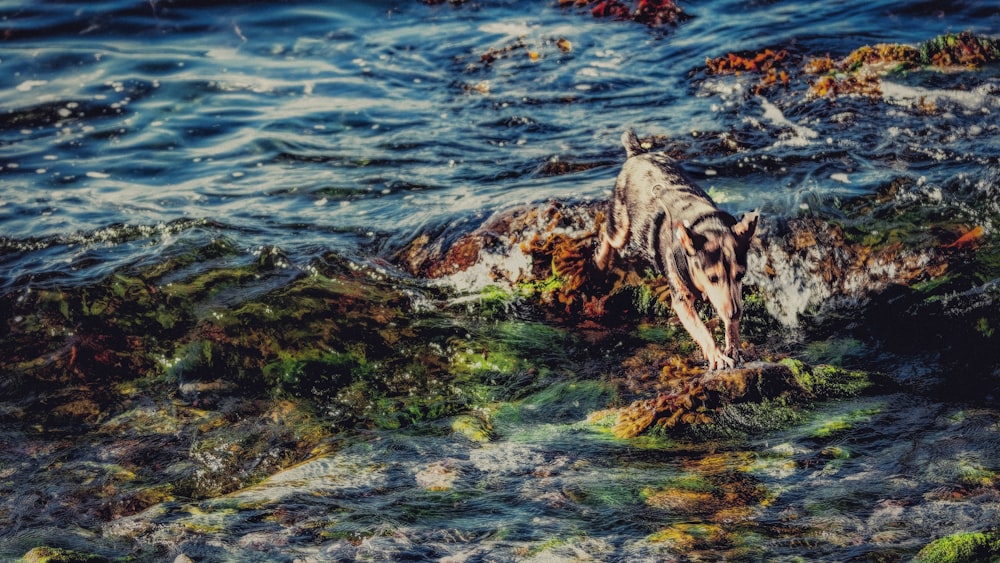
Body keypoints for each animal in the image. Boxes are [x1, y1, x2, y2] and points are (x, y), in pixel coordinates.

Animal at [592, 131, 756, 372]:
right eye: (712, 278)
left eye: (741, 275)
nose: (735, 314)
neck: (704, 224)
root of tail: (638, 153)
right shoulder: (681, 301)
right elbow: (701, 329)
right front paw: (717, 356)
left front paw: (733, 346)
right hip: (621, 224)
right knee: (608, 233)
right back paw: (601, 260)